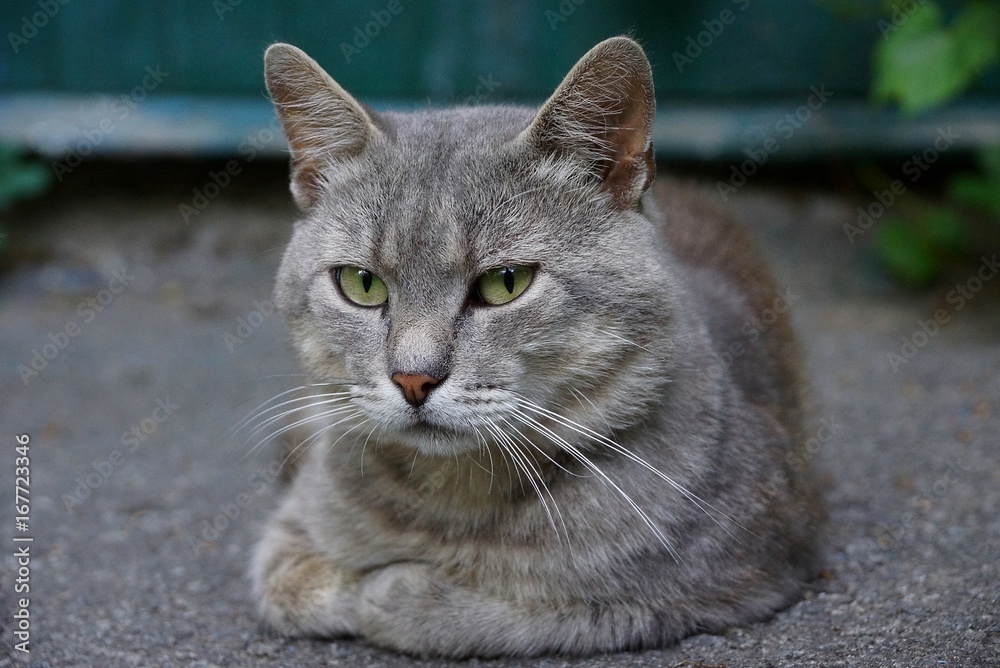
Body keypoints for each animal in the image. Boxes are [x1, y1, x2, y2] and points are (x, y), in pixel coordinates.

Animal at [250, 36, 820, 656]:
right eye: (361, 283)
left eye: (507, 283)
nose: (413, 379)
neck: (452, 500)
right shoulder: (292, 523)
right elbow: (289, 580)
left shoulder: (745, 567)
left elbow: (520, 607)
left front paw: (405, 591)